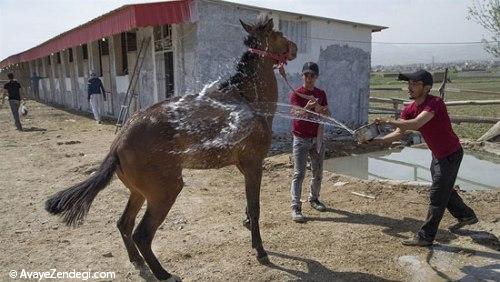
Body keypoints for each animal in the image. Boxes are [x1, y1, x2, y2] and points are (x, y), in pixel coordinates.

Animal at [45, 18, 296, 282]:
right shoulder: (254, 164)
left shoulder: (242, 166)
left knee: (124, 224)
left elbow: (249, 206)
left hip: (139, 193)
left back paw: (137, 260)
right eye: (279, 34)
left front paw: (247, 224)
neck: (247, 99)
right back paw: (163, 273)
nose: (295, 47)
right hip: (165, 192)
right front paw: (260, 250)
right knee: (142, 234)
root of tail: (119, 143)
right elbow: (256, 208)